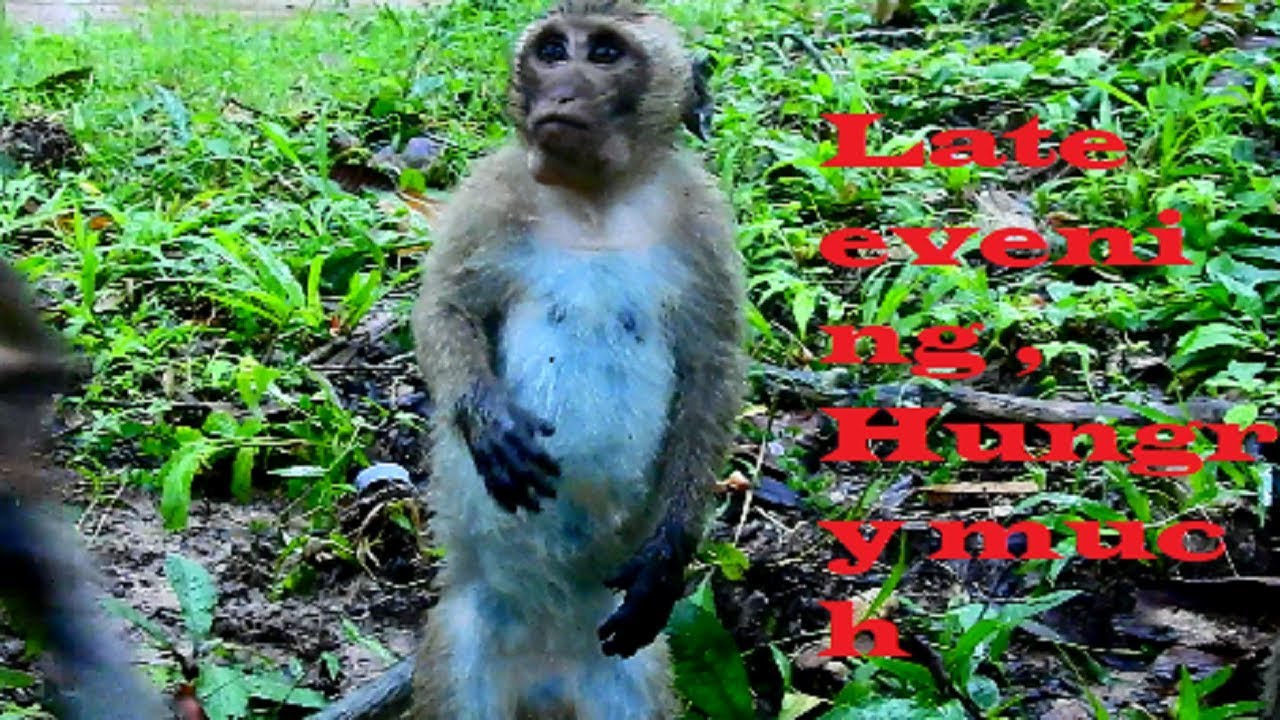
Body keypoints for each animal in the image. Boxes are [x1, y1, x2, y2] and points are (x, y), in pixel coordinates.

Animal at [407, 1, 745, 718]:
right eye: (553, 50)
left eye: (606, 54)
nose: (561, 91)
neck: (597, 200)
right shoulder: (490, 190)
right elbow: (446, 310)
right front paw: (488, 421)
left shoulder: (702, 218)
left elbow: (714, 370)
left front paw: (669, 554)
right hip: (465, 642)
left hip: (621, 671)